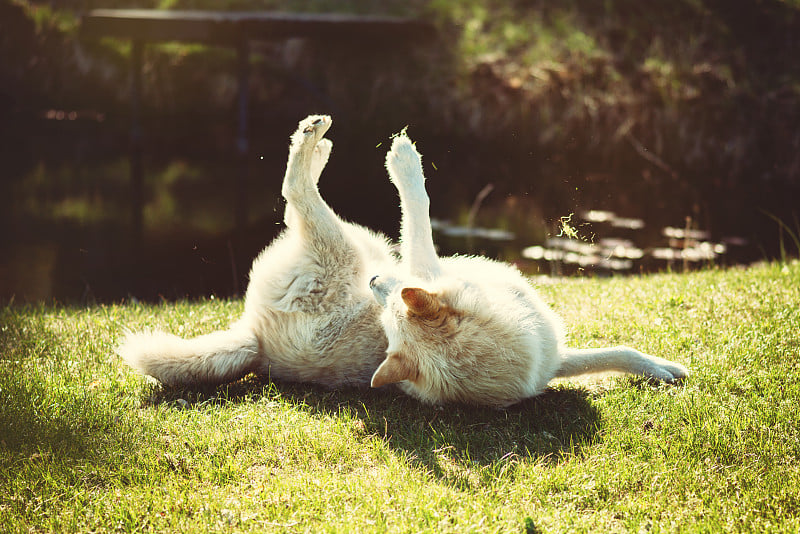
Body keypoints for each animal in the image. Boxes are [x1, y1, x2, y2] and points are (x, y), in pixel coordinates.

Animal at [120, 113, 688, 406]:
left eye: (392, 307)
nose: (377, 280)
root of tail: (256, 342)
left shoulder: (552, 360)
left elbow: (616, 352)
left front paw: (660, 370)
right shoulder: (427, 264)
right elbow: (419, 207)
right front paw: (405, 159)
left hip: (351, 243)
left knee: (296, 195)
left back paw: (315, 143)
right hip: (351, 245)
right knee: (295, 192)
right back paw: (314, 140)